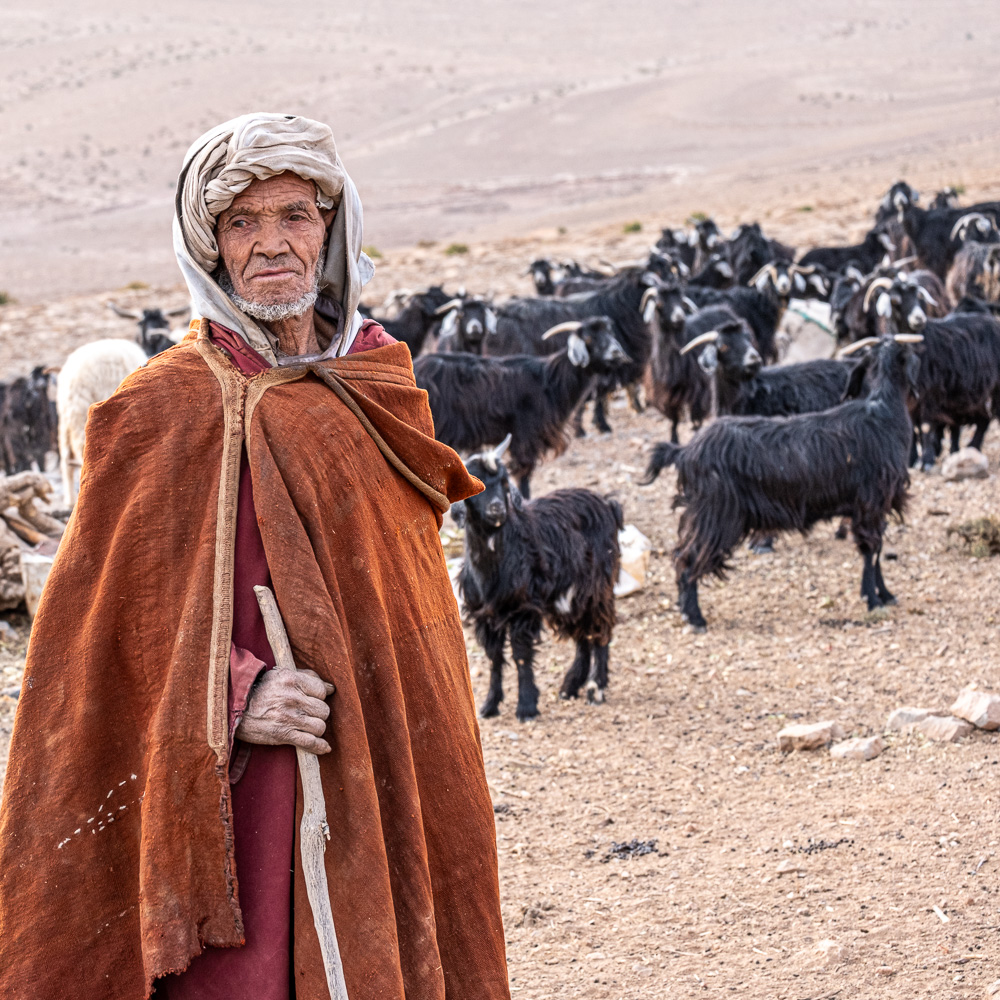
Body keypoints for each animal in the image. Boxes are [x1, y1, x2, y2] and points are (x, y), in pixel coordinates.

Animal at [414, 316, 624, 496]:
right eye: (588, 337)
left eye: (610, 333)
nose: (617, 352)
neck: (549, 381)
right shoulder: (525, 435)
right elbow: (523, 472)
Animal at [640, 336, 920, 632]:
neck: (882, 411)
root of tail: (685, 452)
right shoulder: (871, 503)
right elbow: (871, 550)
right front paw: (873, 600)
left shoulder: (875, 506)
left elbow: (876, 551)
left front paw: (885, 595)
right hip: (714, 515)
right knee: (687, 558)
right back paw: (695, 617)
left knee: (681, 555)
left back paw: (685, 610)